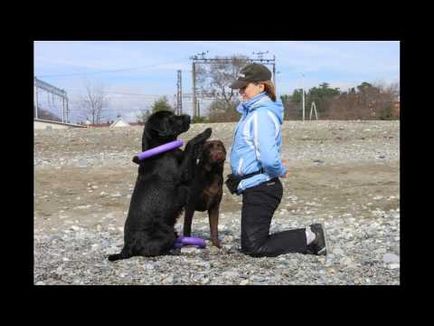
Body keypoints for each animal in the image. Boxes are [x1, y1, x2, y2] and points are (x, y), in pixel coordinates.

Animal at [107, 111, 211, 262]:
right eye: (171, 118)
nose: (188, 116)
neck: (161, 150)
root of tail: (127, 247)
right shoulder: (184, 174)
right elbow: (189, 145)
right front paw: (205, 133)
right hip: (167, 233)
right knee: (154, 251)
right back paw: (174, 252)